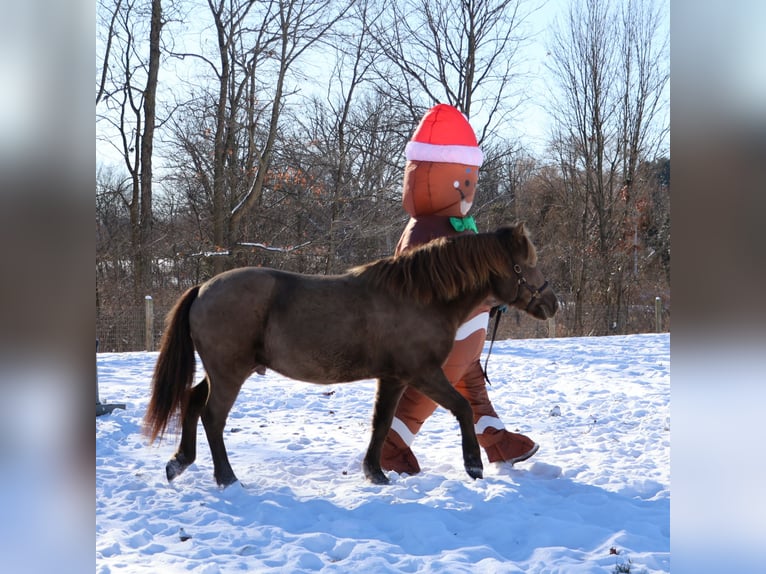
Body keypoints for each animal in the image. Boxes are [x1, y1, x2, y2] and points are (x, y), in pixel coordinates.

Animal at [143, 223, 558, 487]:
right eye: (526, 264)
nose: (553, 303)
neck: (420, 298)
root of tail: (202, 288)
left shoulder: (393, 378)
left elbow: (381, 423)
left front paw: (375, 472)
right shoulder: (423, 373)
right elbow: (462, 407)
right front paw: (473, 464)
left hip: (218, 371)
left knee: (192, 400)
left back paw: (179, 462)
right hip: (229, 373)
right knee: (212, 417)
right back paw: (226, 478)